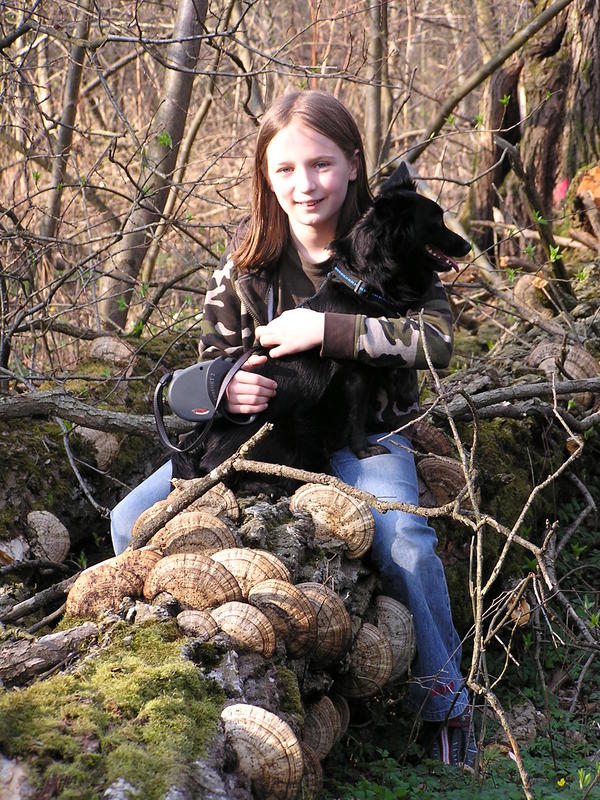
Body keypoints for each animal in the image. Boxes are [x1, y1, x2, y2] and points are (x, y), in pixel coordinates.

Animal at [171, 162, 472, 484]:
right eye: (437, 221)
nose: (468, 245)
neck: (363, 283)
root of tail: (201, 447)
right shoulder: (355, 375)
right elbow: (356, 417)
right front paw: (364, 451)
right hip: (283, 432)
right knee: (234, 469)